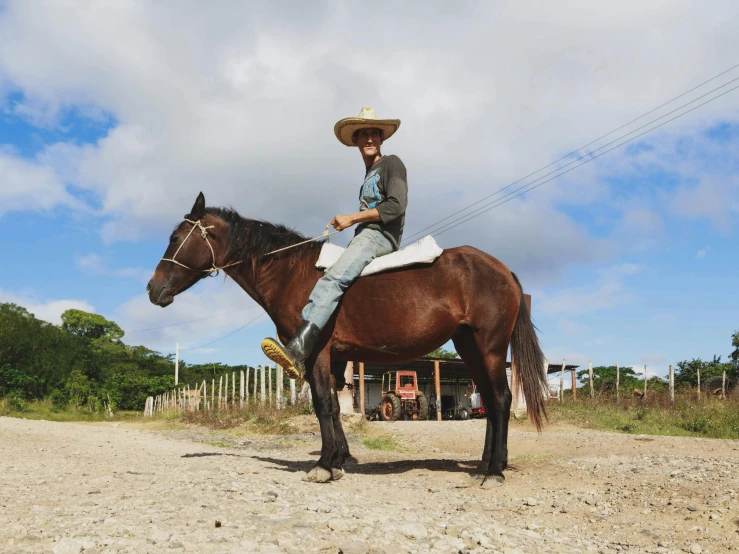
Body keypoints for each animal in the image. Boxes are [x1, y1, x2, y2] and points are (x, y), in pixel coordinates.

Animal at [146, 192, 548, 486]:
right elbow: (337, 407)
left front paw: (325, 465)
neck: (291, 272)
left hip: (490, 347)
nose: (152, 289)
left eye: (175, 238)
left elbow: (324, 405)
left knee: (500, 400)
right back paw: (485, 464)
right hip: (469, 347)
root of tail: (502, 270)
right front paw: (339, 458)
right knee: (490, 403)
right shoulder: (335, 359)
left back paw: (494, 471)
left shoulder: (317, 352)